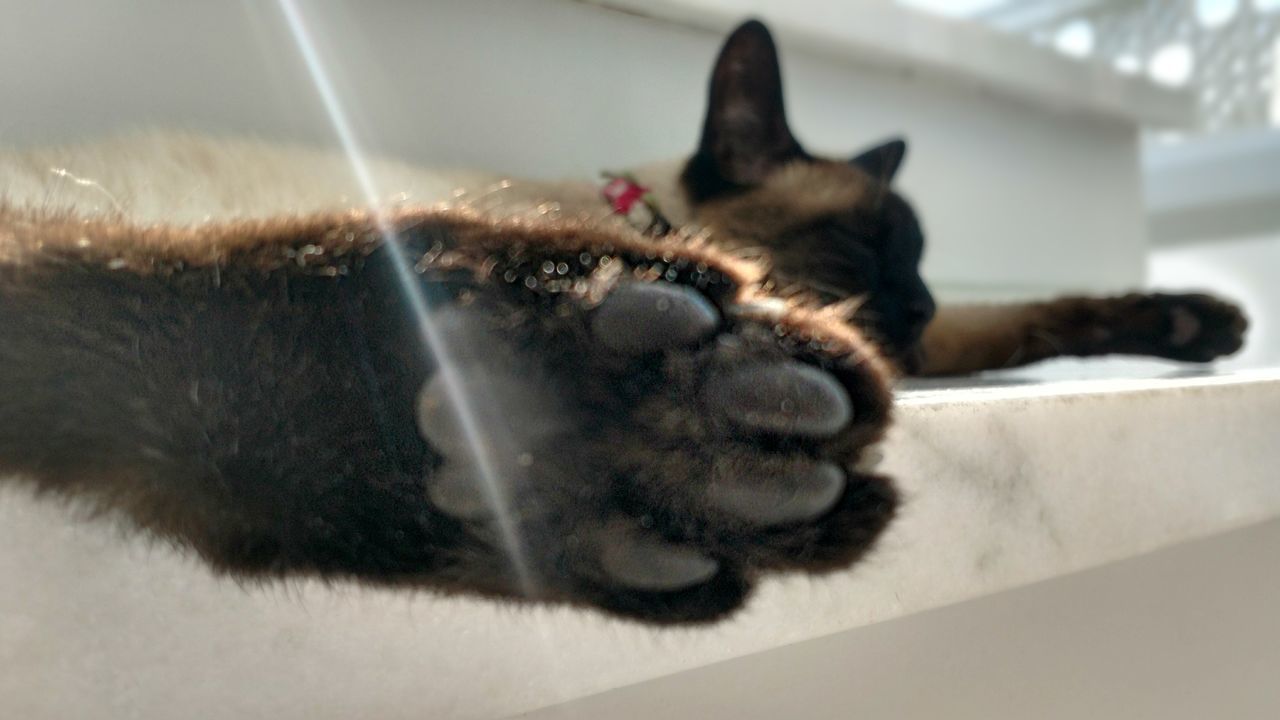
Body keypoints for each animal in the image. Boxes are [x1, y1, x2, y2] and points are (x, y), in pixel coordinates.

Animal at [0, 16, 1244, 622]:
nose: (919, 298)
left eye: (922, 262)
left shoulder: (888, 335)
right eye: (871, 246)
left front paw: (1197, 324)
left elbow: (1016, 319)